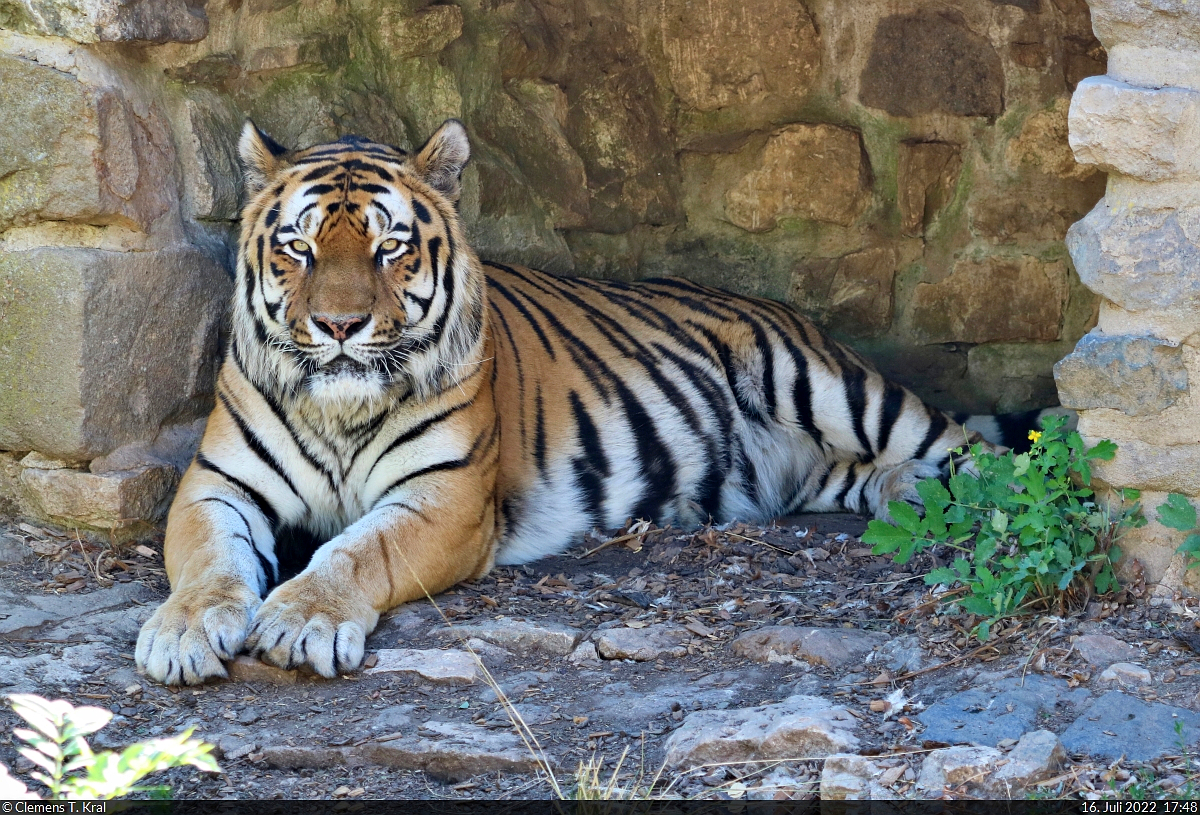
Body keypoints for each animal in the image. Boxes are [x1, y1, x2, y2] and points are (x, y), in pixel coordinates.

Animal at [136, 118, 1060, 686]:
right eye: (297, 247)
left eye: (389, 247)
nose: (336, 324)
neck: (338, 407)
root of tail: (778, 306)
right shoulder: (216, 485)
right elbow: (209, 561)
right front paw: (181, 630)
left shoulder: (443, 497)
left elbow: (356, 552)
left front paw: (300, 618)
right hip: (813, 465)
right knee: (878, 474)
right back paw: (908, 498)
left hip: (830, 386)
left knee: (983, 456)